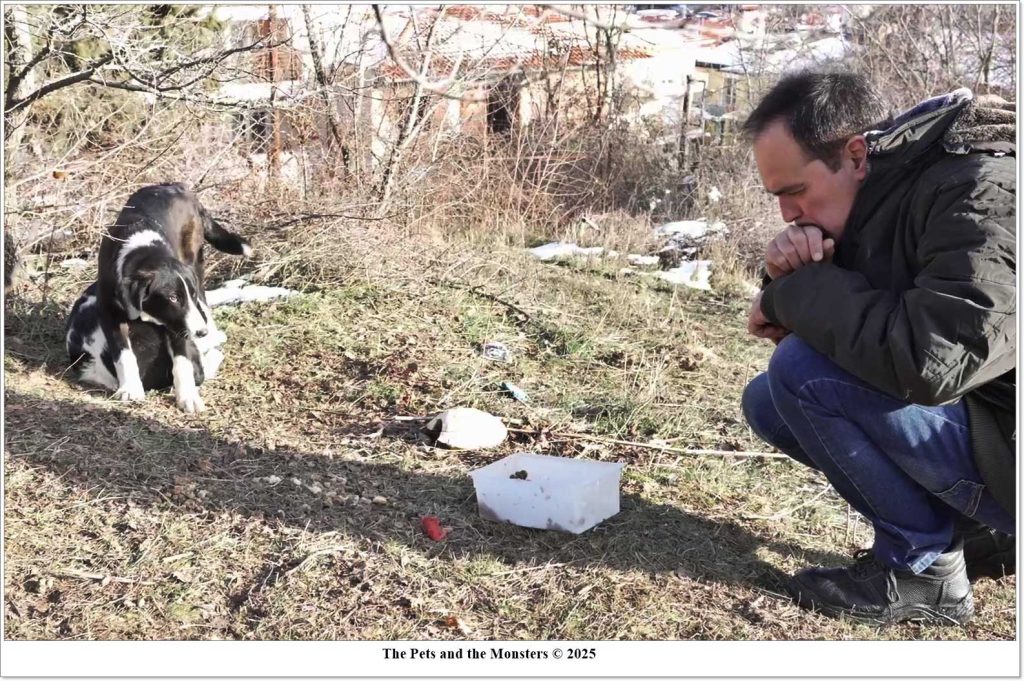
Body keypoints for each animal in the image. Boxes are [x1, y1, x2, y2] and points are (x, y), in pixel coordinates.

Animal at [87, 182, 250, 412]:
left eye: (185, 296)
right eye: (172, 298)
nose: (200, 332)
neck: (142, 250)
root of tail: (176, 185)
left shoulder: (178, 322)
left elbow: (182, 361)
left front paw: (188, 396)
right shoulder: (110, 313)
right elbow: (123, 354)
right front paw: (130, 389)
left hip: (196, 262)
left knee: (205, 304)